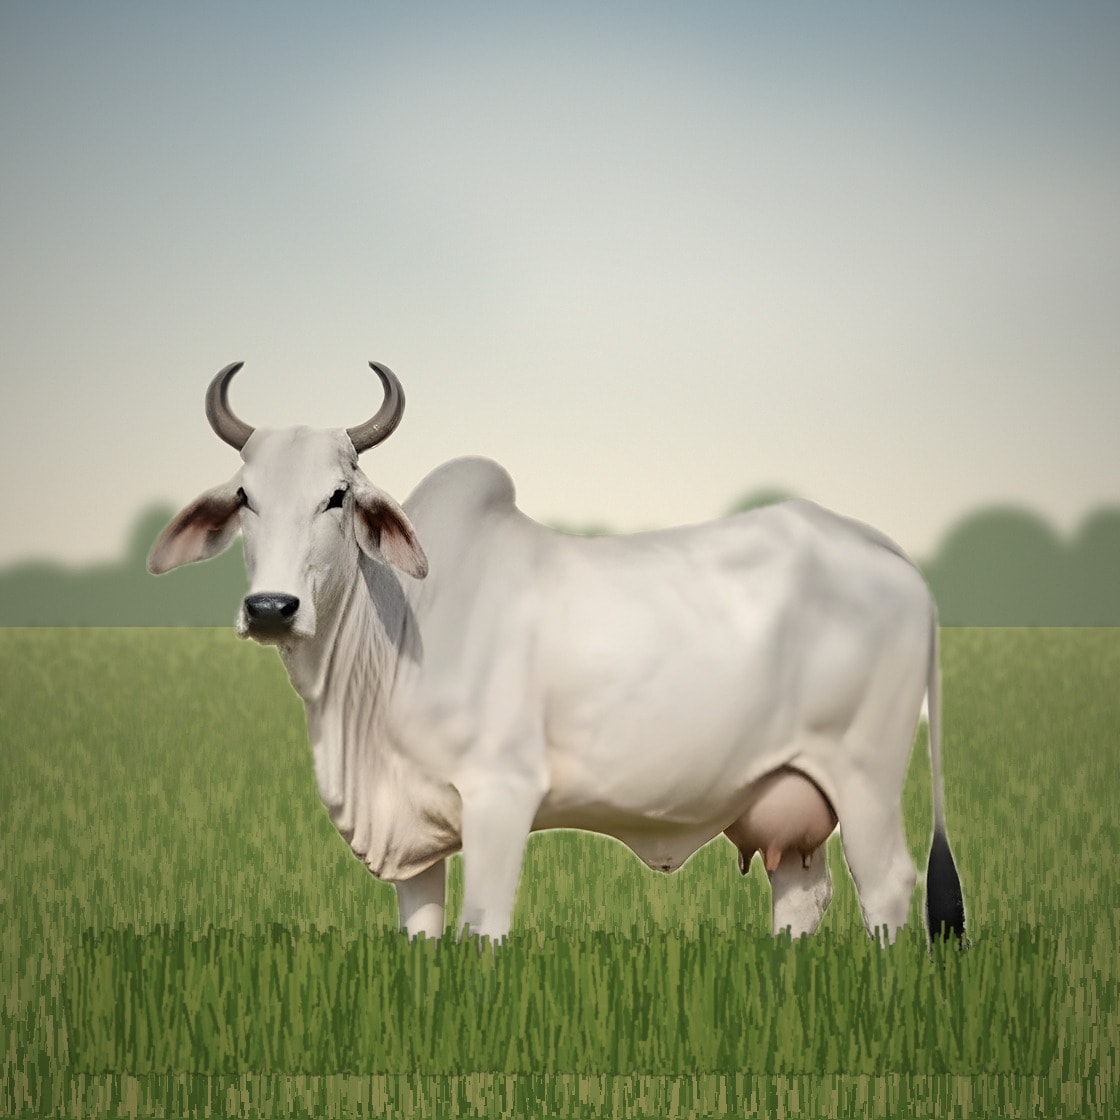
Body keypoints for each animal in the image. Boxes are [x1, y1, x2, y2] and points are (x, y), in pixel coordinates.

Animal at [149, 361, 966, 946]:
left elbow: (483, 929)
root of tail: (886, 550)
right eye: (245, 497)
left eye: (338, 496)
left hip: (864, 778)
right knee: (801, 898)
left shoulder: (500, 796)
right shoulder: (417, 842)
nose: (271, 609)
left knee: (889, 889)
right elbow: (422, 935)